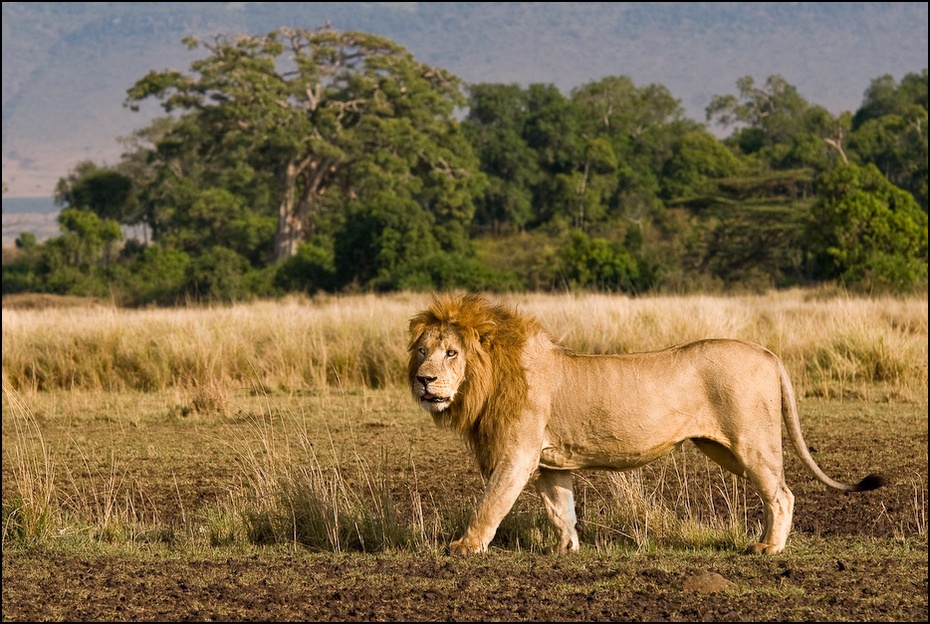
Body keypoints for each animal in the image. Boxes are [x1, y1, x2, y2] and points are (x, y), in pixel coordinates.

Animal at [408, 292, 884, 556]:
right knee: (777, 489)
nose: (423, 380)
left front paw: (465, 547)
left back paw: (769, 548)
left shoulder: (517, 455)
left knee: (781, 493)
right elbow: (561, 509)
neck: (488, 380)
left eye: (451, 353)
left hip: (752, 441)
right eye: (422, 351)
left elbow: (490, 503)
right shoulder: (549, 463)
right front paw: (566, 550)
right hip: (724, 448)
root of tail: (767, 352)